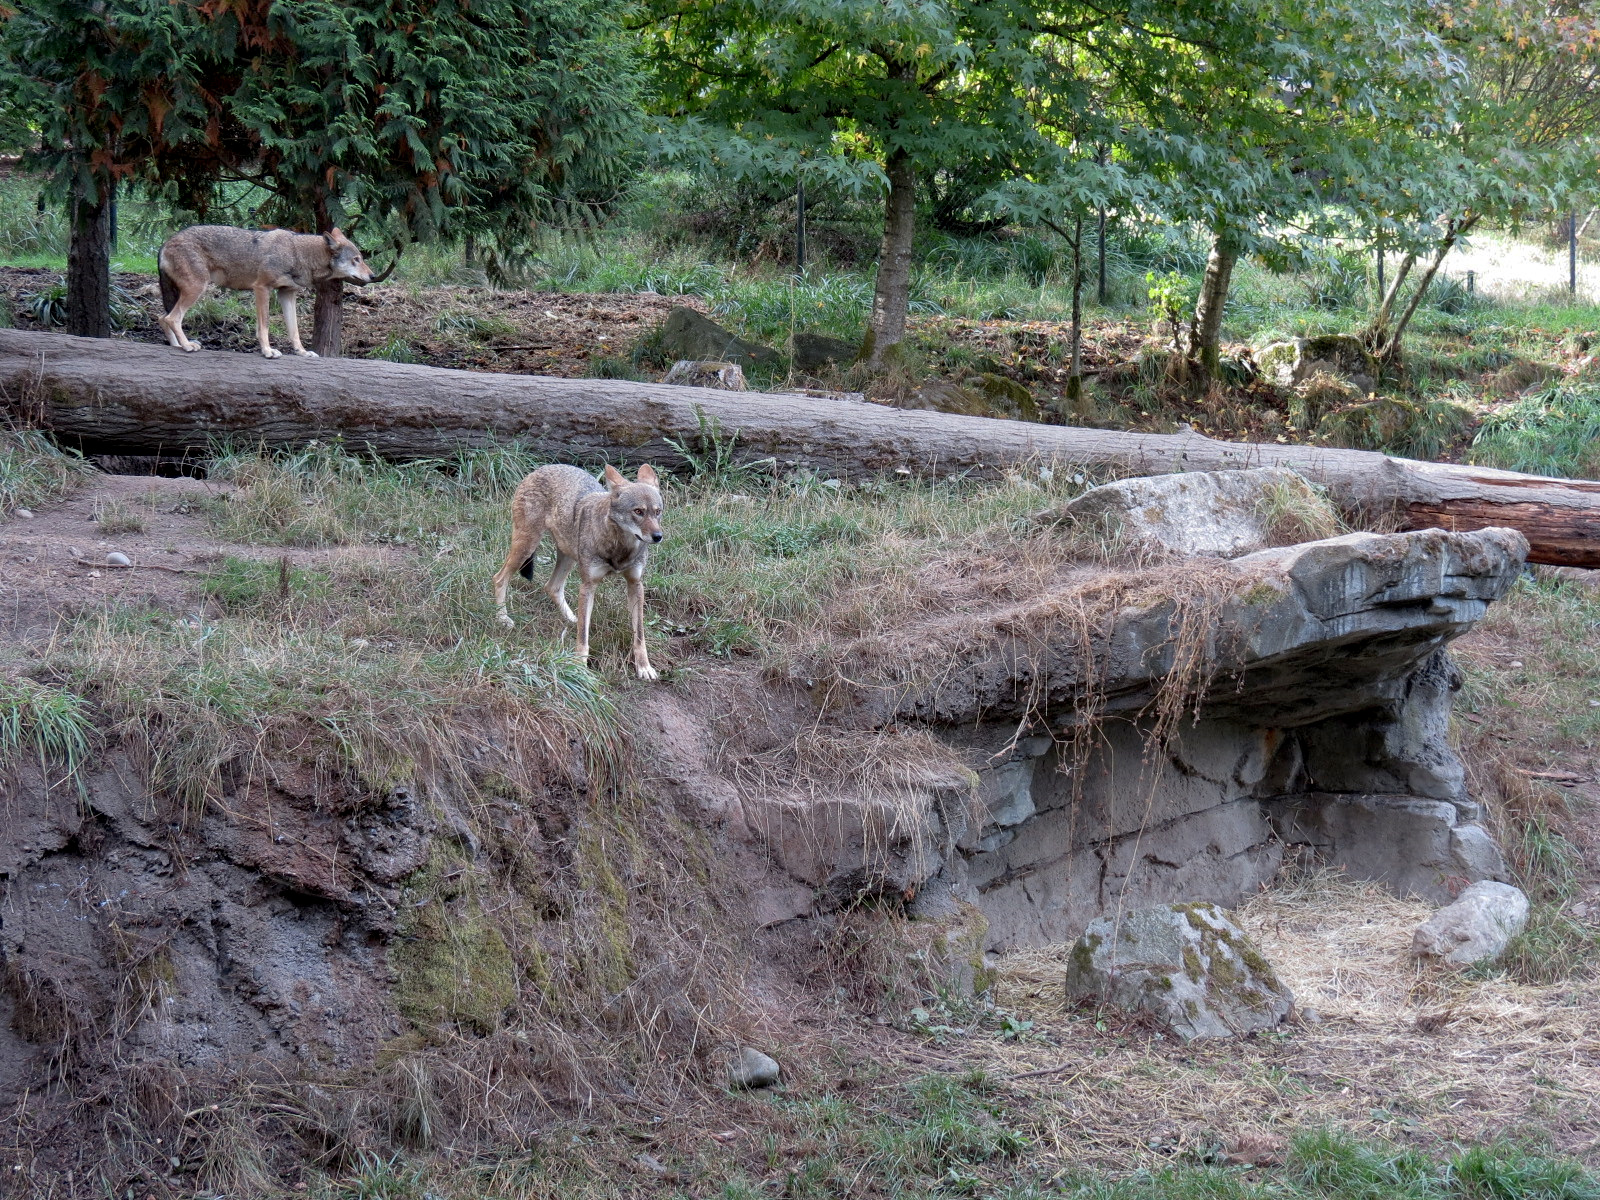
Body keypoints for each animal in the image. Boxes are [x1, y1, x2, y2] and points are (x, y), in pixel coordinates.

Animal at [157, 225, 373, 359]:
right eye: (356, 260)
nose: (373, 276)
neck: (298, 254)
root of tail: (166, 242)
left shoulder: (287, 294)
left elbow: (294, 331)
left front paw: (302, 352)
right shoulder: (262, 288)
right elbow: (264, 327)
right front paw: (268, 351)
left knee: (162, 317)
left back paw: (177, 345)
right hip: (196, 289)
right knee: (172, 318)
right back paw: (187, 346)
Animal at [492, 463, 665, 680]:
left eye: (657, 512)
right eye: (639, 511)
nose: (658, 536)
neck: (620, 549)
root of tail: (541, 468)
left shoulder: (636, 584)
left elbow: (639, 635)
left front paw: (644, 667)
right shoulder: (588, 586)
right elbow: (583, 636)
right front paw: (579, 668)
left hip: (567, 556)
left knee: (552, 587)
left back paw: (571, 618)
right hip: (526, 547)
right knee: (499, 578)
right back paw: (502, 618)